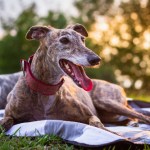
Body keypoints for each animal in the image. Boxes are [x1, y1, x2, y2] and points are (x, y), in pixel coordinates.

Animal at [0, 23, 150, 131]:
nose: (96, 59)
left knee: (142, 116)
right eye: (64, 40)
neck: (46, 89)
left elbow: (98, 126)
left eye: (82, 39)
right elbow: (4, 123)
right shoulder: (9, 114)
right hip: (108, 112)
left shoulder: (90, 115)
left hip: (106, 102)